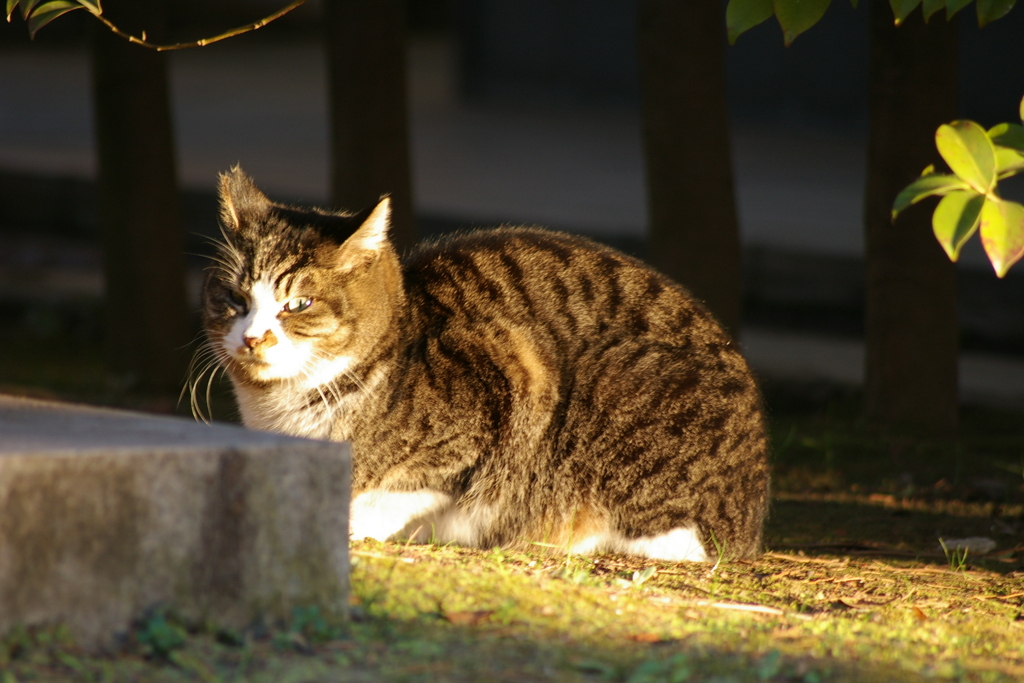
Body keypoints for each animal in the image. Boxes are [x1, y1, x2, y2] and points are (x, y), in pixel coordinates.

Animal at [197, 166, 770, 561]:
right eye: (234, 298)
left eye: (298, 304)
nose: (253, 338)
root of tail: (752, 509)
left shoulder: (507, 382)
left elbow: (409, 486)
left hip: (617, 394)